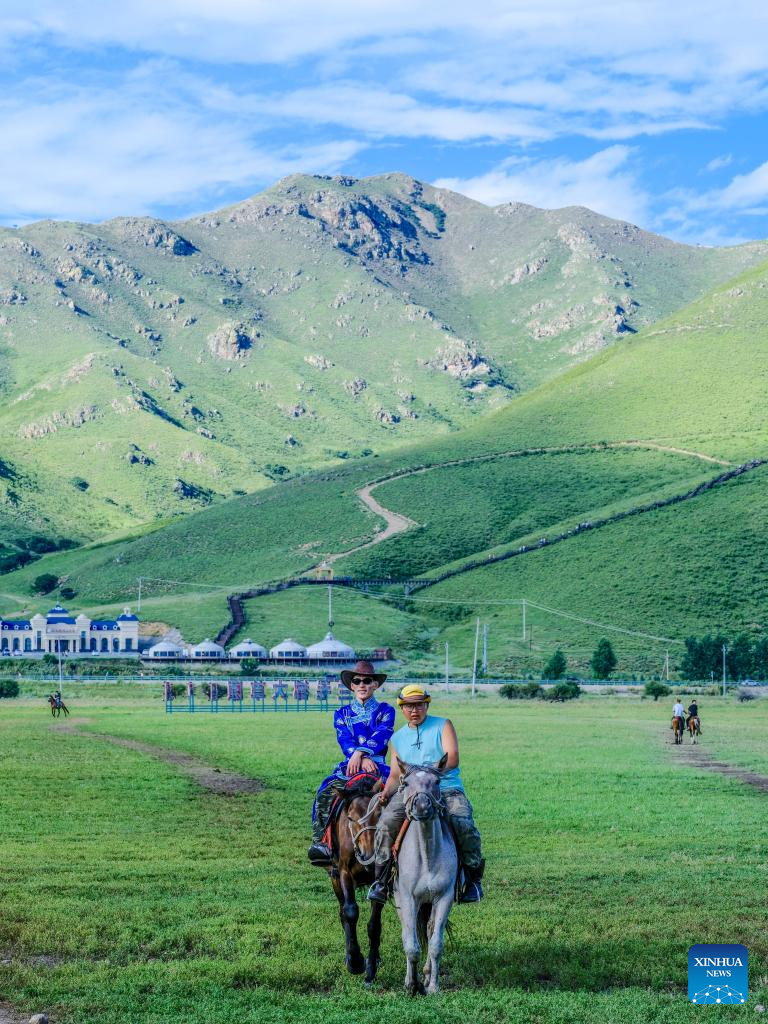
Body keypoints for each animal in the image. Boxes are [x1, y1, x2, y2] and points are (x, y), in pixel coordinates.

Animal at [324, 772, 386, 985]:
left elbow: (374, 925)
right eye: (350, 817)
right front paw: (356, 962)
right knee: (343, 910)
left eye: (379, 814)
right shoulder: (343, 872)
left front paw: (371, 969)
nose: (369, 856)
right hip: (334, 877)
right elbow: (350, 912)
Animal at [394, 757, 458, 996]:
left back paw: (428, 973)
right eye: (406, 782)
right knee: (407, 931)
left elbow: (436, 944)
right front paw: (413, 985)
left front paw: (432, 986)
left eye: (437, 781)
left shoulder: (444, 897)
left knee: (429, 931)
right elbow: (411, 945)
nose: (422, 806)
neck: (428, 856)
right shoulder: (408, 898)